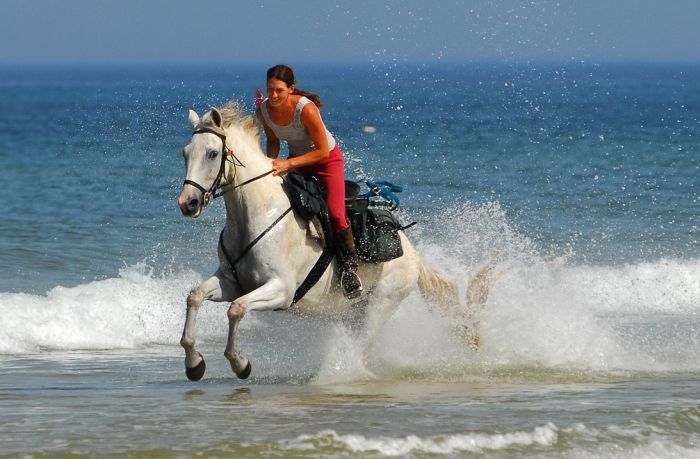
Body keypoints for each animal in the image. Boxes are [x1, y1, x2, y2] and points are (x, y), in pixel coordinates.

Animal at [178, 103, 490, 380]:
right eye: (185, 153)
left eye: (212, 153)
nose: (188, 203)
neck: (257, 212)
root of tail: (412, 253)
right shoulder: (232, 282)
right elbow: (194, 296)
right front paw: (194, 364)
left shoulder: (281, 289)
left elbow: (236, 309)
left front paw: (240, 363)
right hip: (352, 311)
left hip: (382, 302)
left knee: (362, 347)